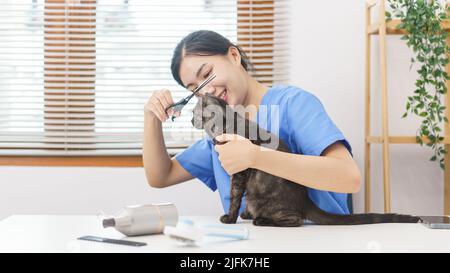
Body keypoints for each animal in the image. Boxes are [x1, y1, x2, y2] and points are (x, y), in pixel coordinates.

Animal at [191, 93, 422, 225]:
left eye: (193, 112)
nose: (191, 119)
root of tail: (306, 201)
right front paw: (242, 214)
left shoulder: (239, 171)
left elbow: (234, 197)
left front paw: (229, 218)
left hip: (266, 200)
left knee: (295, 220)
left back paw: (262, 220)